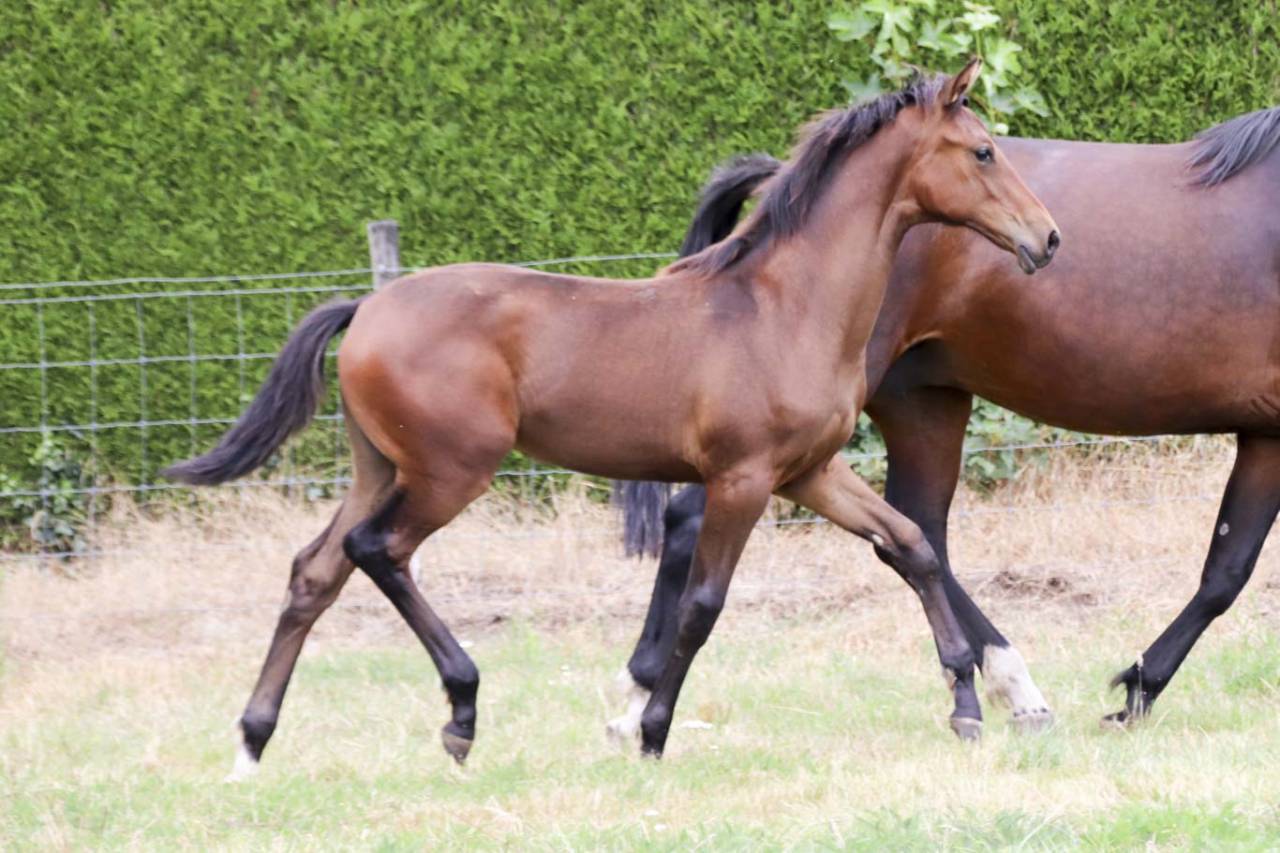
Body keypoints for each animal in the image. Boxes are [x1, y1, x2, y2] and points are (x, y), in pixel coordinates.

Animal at [165, 61, 1060, 778]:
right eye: (983, 151)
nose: (1047, 238)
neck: (781, 307)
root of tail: (366, 307)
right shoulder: (742, 478)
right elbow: (703, 604)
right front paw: (652, 733)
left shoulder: (809, 471)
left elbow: (909, 545)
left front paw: (967, 706)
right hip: (451, 471)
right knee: (375, 549)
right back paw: (461, 713)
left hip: (380, 465)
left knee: (314, 571)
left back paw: (251, 743)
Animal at [609, 100, 1280, 742]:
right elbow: (1229, 576)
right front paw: (1136, 691)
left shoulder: (1266, 436)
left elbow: (1226, 571)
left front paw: (1137, 690)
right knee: (696, 516)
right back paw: (639, 699)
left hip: (922, 402)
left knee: (914, 531)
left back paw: (1013, 692)